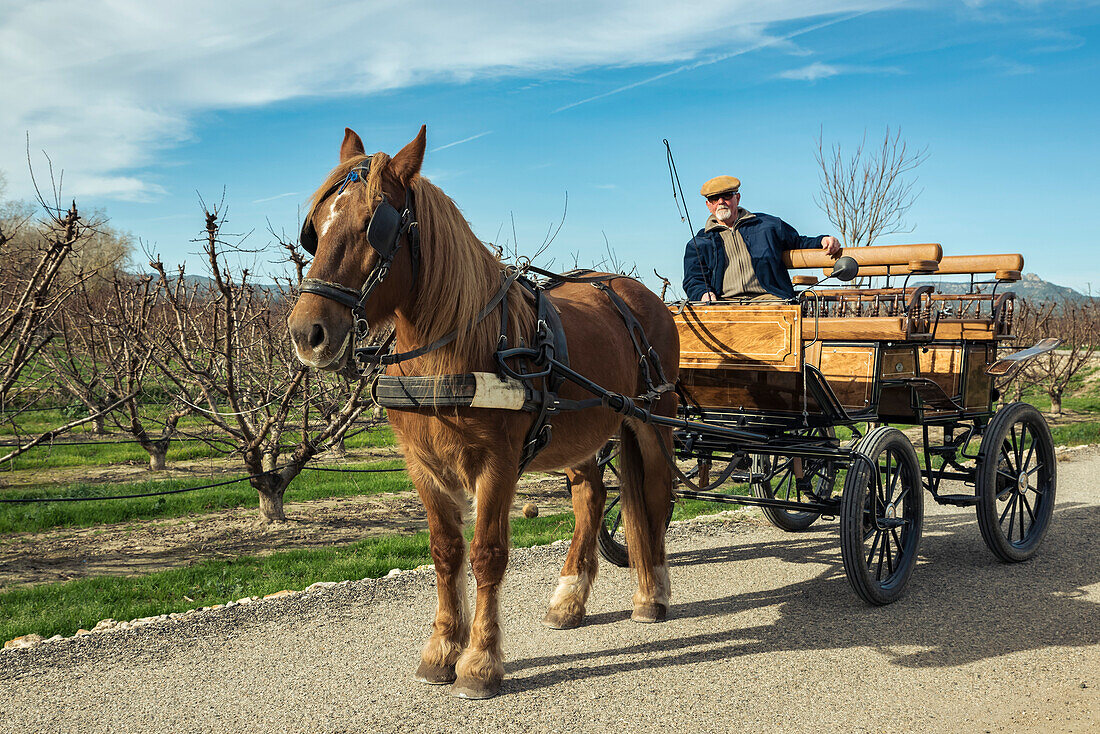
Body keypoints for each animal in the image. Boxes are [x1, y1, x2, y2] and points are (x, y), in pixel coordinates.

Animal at [283, 126, 677, 699]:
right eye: (316, 228)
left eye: (373, 226)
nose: (306, 333)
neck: (455, 349)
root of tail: (633, 289)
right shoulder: (422, 464)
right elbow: (446, 552)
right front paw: (442, 650)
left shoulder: (498, 463)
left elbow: (487, 554)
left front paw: (481, 662)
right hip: (580, 432)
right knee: (591, 497)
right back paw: (569, 599)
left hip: (652, 418)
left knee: (655, 495)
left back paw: (653, 594)